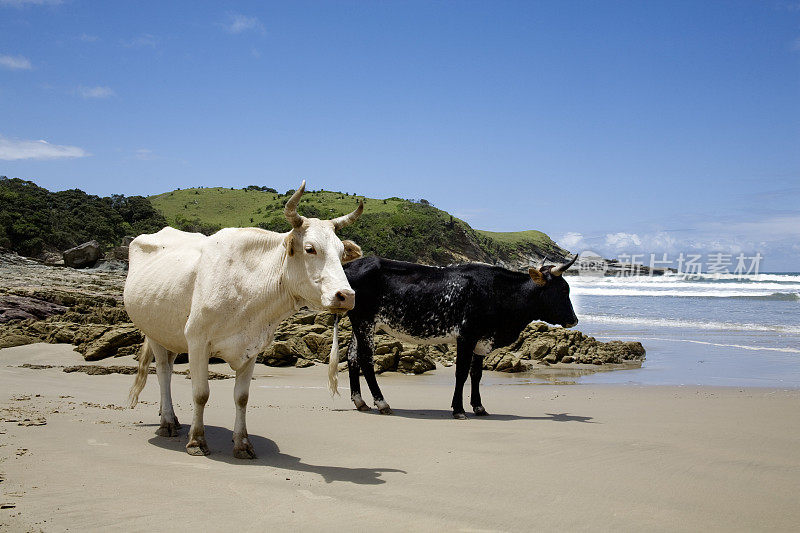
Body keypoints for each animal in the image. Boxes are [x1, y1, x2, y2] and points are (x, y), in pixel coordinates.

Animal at [126, 183, 364, 458]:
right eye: (310, 248)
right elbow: (200, 394)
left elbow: (242, 397)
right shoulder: (197, 341)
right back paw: (167, 423)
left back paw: (173, 418)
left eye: (341, 253)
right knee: (163, 371)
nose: (346, 296)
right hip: (153, 332)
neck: (249, 285)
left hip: (171, 334)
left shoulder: (252, 346)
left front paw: (242, 444)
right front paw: (197, 441)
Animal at [334, 256, 580, 418]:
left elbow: (476, 374)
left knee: (352, 357)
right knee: (366, 359)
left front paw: (479, 407)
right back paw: (382, 403)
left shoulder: (482, 340)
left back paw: (361, 402)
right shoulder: (466, 336)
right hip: (364, 321)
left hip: (362, 324)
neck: (497, 292)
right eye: (562, 290)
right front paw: (459, 409)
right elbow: (461, 373)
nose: (574, 319)